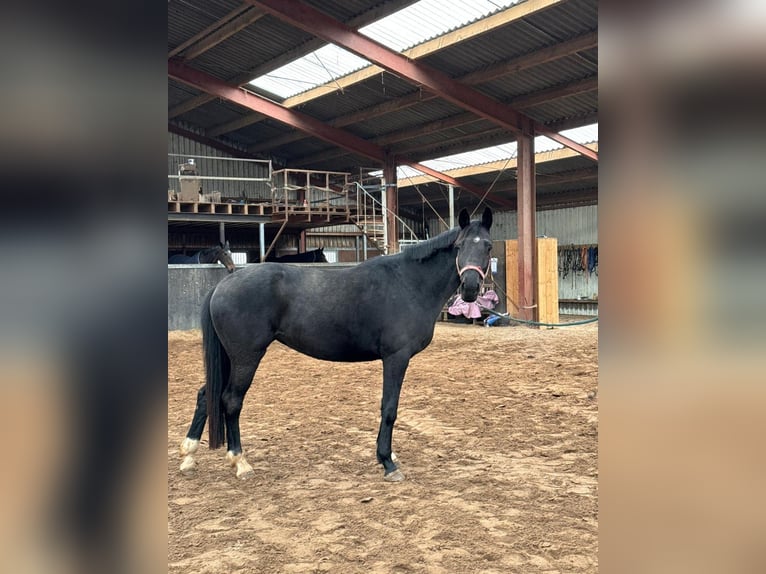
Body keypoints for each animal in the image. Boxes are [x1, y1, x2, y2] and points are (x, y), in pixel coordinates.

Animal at [178, 209, 492, 484]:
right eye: (460, 245)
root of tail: (225, 282)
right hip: (245, 357)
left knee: (207, 395)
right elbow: (389, 407)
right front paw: (387, 462)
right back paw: (240, 462)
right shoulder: (396, 358)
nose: (470, 288)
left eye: (487, 246)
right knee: (231, 400)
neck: (409, 283)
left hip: (229, 357)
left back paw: (189, 456)